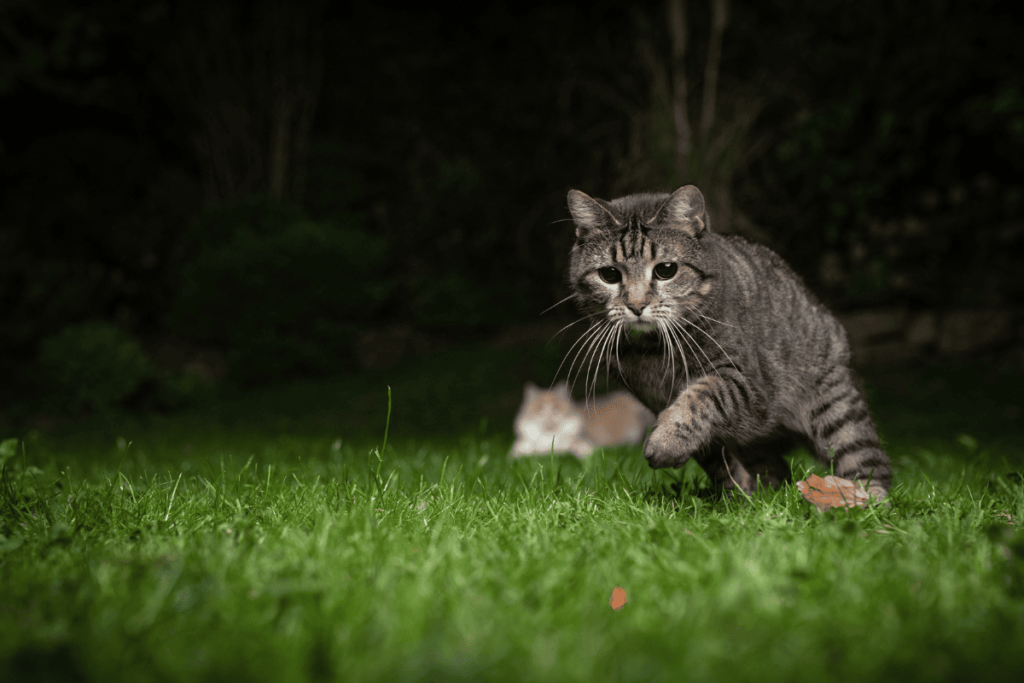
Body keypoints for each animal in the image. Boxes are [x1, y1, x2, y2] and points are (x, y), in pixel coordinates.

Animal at [565, 184, 892, 499]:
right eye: (609, 274)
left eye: (666, 270)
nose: (636, 305)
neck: (651, 351)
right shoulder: (657, 402)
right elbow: (716, 459)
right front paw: (735, 494)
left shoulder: (747, 383)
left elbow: (703, 394)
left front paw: (667, 442)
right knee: (775, 469)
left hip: (837, 410)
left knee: (870, 464)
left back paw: (865, 501)